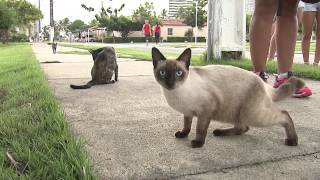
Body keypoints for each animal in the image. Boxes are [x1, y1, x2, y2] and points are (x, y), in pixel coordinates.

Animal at [152, 47, 302, 148]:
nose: (170, 83)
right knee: (243, 127)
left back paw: (293, 141)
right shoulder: (188, 112)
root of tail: (264, 83)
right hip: (236, 113)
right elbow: (187, 125)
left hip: (252, 115)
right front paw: (183, 134)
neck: (176, 94)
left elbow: (200, 129)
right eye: (163, 73)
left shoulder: (205, 112)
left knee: (284, 114)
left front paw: (198, 143)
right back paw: (219, 132)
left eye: (178, 73)